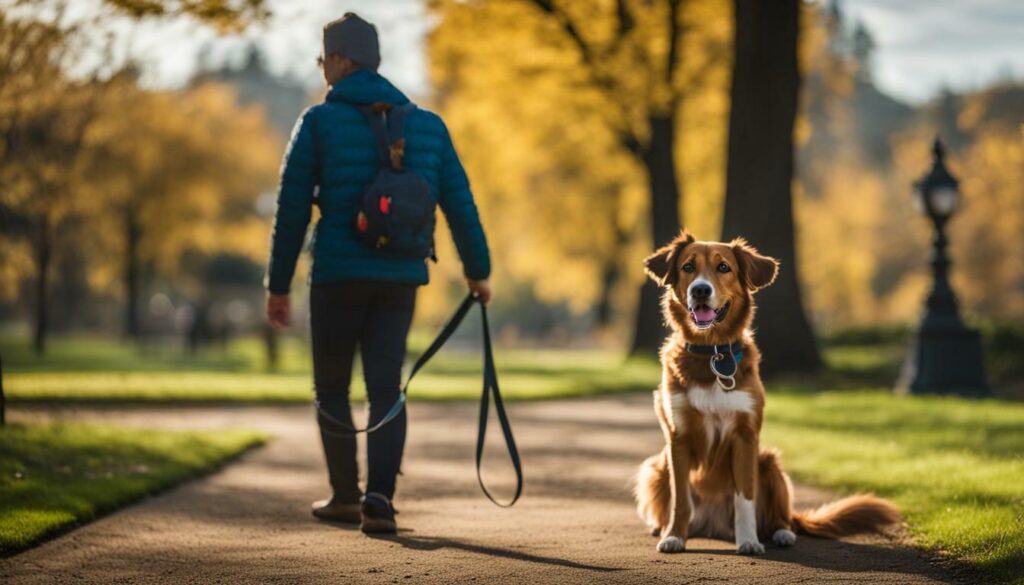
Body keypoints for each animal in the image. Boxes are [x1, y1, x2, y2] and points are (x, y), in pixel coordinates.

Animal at [630, 228, 897, 553]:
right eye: (688, 267)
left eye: (723, 267)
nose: (700, 291)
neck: (711, 353)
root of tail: (712, 524)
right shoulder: (677, 438)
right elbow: (680, 499)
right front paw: (674, 537)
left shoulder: (745, 436)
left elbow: (745, 497)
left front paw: (748, 541)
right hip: (656, 467)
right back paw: (662, 527)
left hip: (770, 464)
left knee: (781, 519)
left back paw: (782, 534)